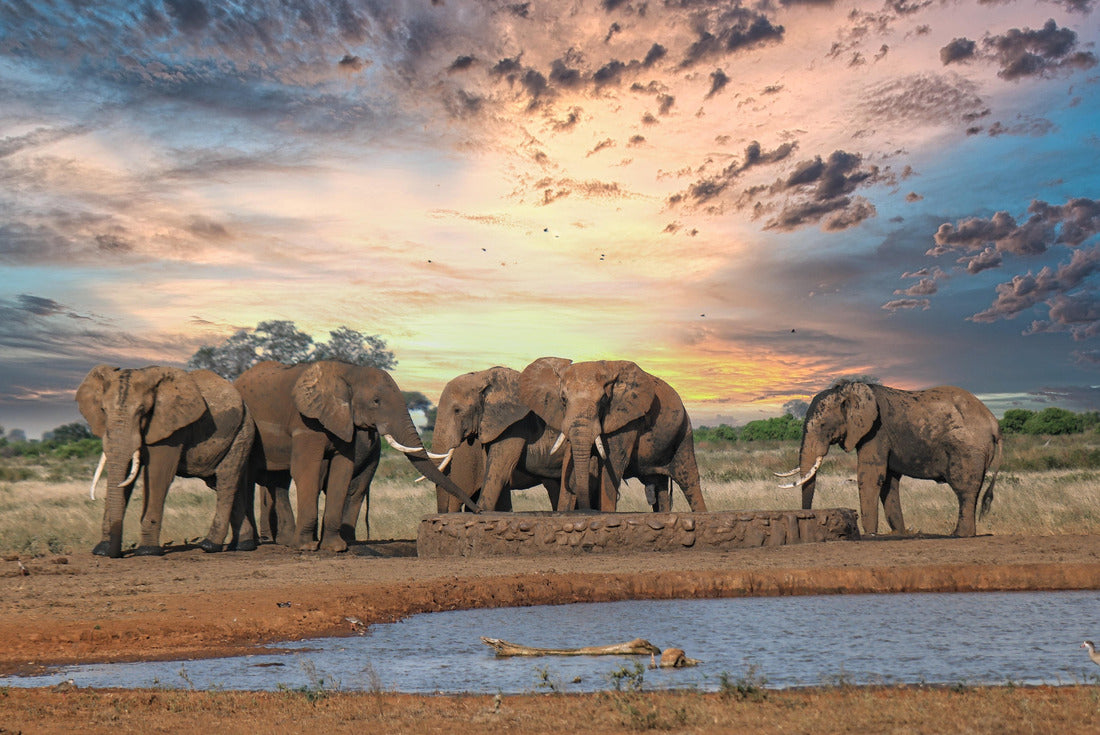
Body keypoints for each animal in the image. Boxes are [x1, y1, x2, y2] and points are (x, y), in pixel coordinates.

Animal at [76, 365, 257, 558]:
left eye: (143, 411)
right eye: (103, 410)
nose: (115, 554)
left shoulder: (171, 429)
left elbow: (158, 475)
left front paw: (147, 551)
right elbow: (125, 477)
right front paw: (101, 550)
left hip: (243, 432)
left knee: (226, 482)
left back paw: (209, 546)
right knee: (230, 484)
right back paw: (243, 545)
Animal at [234, 360, 478, 552]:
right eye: (376, 401)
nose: (477, 511)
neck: (349, 371)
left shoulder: (343, 421)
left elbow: (342, 471)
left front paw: (334, 547)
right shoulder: (305, 423)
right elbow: (307, 469)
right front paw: (306, 547)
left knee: (279, 481)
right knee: (249, 478)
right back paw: (253, 543)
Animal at [518, 357, 708, 513]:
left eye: (603, 400)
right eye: (563, 399)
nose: (586, 510)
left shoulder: (627, 419)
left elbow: (613, 463)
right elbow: (569, 461)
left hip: (684, 430)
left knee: (689, 480)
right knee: (660, 485)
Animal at [777, 380, 1002, 537]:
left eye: (823, 426)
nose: (808, 518)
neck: (850, 389)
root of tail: (994, 425)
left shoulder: (877, 431)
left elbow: (870, 476)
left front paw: (869, 534)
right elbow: (888, 482)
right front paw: (899, 533)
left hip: (967, 450)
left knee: (964, 490)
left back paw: (959, 535)